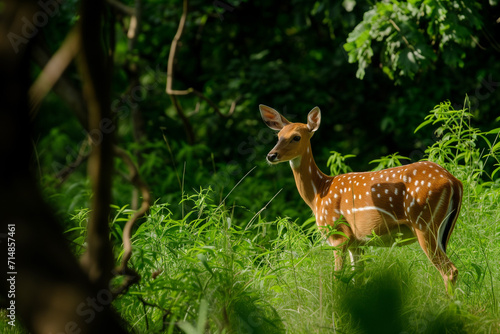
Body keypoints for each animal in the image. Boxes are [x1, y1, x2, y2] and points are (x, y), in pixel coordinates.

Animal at [260, 104, 462, 290]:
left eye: (296, 137)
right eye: (278, 136)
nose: (271, 155)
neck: (319, 192)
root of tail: (453, 181)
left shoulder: (339, 235)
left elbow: (338, 279)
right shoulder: (357, 242)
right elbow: (357, 279)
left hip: (424, 222)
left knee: (449, 270)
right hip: (444, 229)